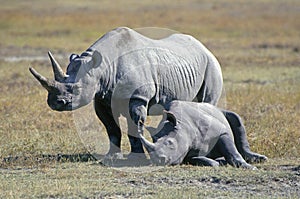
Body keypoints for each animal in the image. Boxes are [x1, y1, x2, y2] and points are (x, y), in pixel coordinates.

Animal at [29, 27, 223, 159]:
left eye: (76, 89)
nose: (55, 103)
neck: (102, 67)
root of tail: (204, 47)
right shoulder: (101, 98)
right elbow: (111, 127)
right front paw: (112, 156)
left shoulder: (138, 97)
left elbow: (134, 125)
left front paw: (136, 157)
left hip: (211, 64)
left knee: (207, 102)